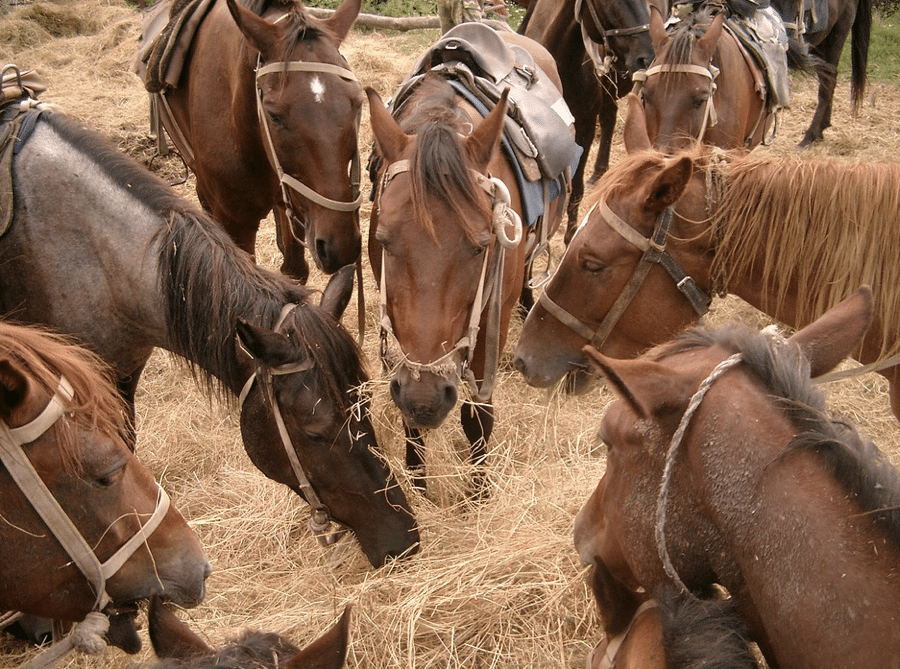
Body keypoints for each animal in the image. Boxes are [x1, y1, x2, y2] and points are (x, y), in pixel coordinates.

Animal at [140, 0, 365, 282]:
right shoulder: (236, 223)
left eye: (358, 102)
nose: (340, 246)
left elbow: (294, 271)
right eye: (274, 115)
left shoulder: (295, 207)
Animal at [366, 29, 568, 495]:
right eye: (384, 242)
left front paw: (478, 495)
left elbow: (478, 415)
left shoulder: (491, 318)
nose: (425, 398)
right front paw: (419, 485)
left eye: (480, 247)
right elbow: (410, 420)